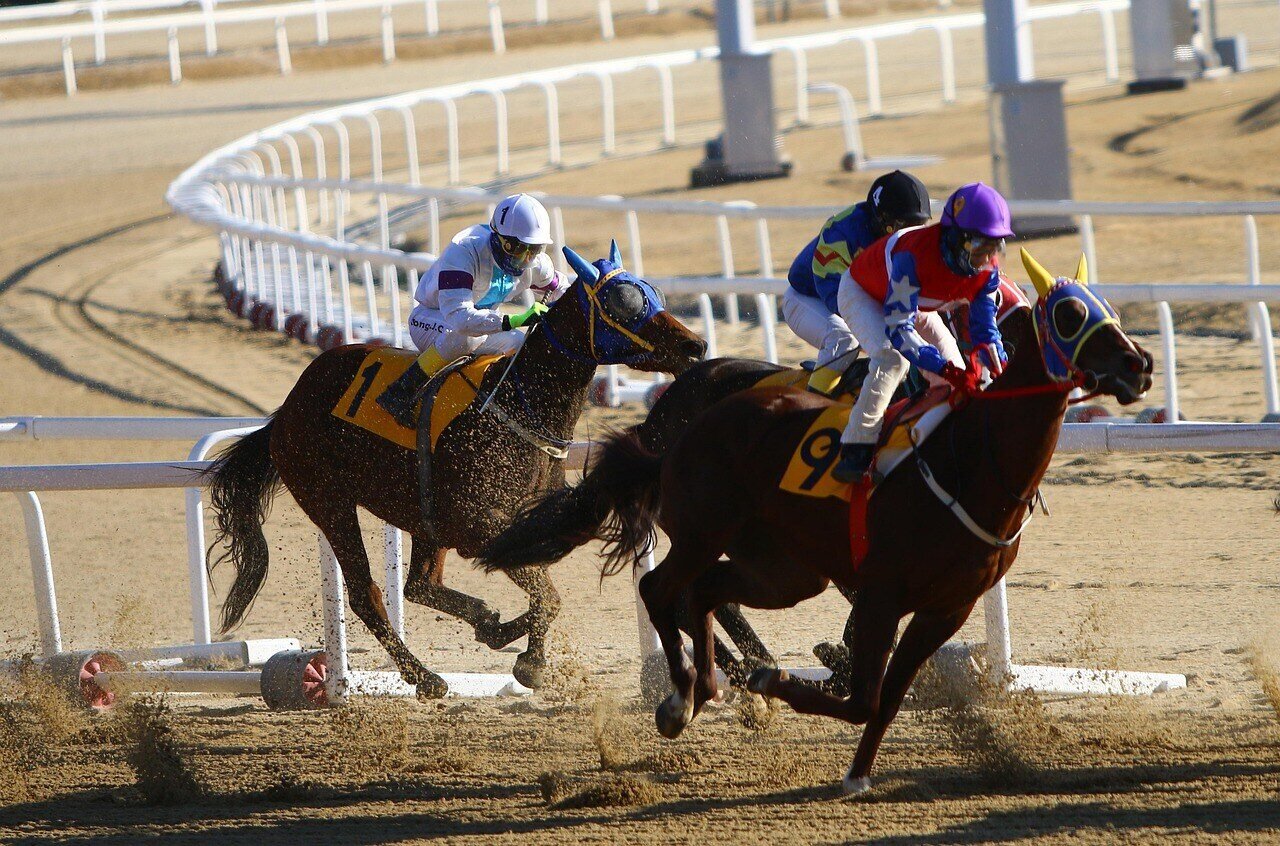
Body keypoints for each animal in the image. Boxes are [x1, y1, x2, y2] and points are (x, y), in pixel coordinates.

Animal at [207, 241, 711, 691]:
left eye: (652, 292)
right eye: (622, 303)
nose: (696, 344)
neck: (516, 409)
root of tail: (285, 410)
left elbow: (547, 594)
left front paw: (510, 638)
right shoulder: (477, 526)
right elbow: (546, 595)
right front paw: (529, 662)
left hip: (421, 517)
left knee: (419, 585)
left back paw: (483, 624)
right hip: (328, 501)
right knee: (369, 595)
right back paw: (425, 677)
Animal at [481, 250, 1162, 793]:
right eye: (1067, 315)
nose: (1140, 364)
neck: (967, 453)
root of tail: (672, 411)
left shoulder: (933, 598)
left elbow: (878, 684)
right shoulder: (880, 579)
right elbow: (864, 671)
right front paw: (821, 671)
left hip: (779, 564)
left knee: (704, 592)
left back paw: (728, 683)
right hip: (712, 532)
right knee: (672, 589)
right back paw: (707, 689)